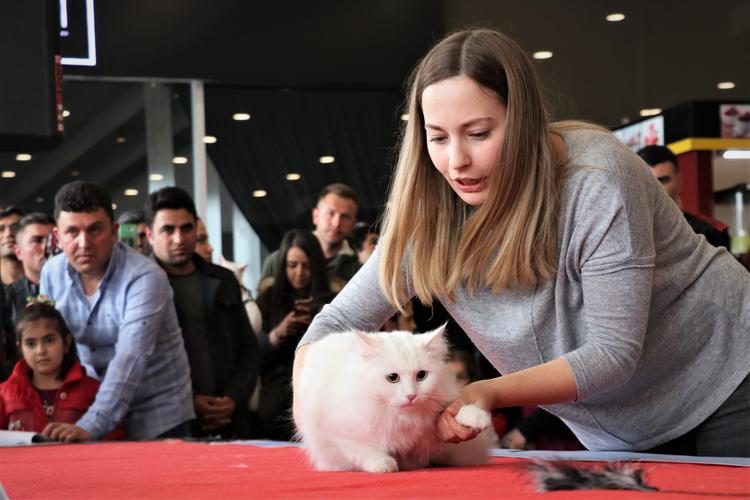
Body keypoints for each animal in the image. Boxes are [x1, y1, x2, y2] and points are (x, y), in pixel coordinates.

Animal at [296, 326, 500, 470]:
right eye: (392, 378)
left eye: (421, 375)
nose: (411, 396)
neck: (402, 418)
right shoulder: (338, 434)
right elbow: (364, 450)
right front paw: (384, 464)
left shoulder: (436, 431)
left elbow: (459, 414)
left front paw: (478, 418)